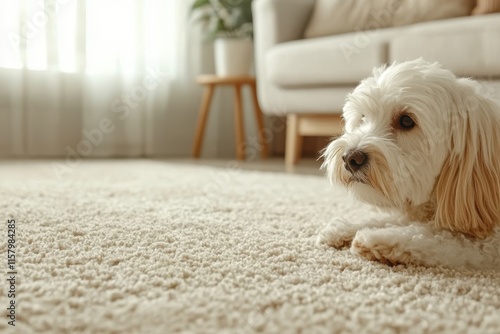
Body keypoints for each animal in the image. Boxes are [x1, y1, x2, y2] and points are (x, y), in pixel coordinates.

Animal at [318, 58, 500, 270]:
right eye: (363, 118)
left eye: (406, 121)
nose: (350, 158)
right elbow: (392, 218)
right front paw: (348, 227)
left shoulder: (490, 243)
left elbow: (443, 238)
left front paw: (381, 238)